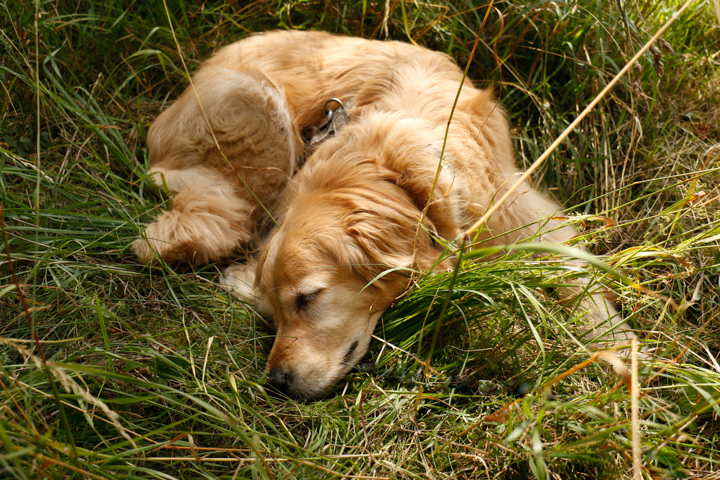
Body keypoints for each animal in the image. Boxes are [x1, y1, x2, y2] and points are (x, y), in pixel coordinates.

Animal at [134, 29, 632, 398]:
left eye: (307, 298)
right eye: (274, 315)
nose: (276, 382)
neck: (395, 172)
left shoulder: (521, 207)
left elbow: (578, 275)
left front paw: (616, 347)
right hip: (258, 111)